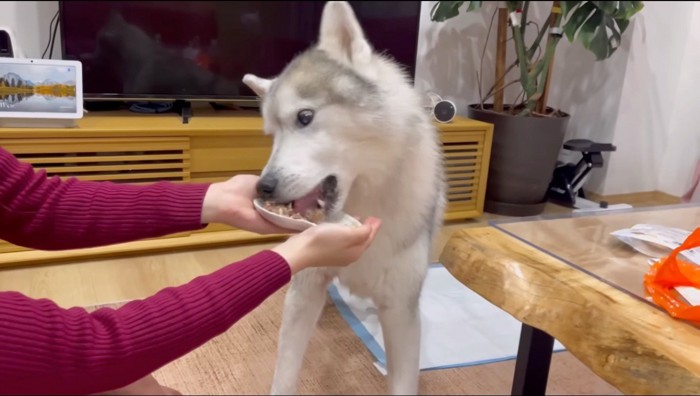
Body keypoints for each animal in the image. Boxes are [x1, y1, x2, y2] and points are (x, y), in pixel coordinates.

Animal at [243, 1, 446, 394]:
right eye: (272, 134)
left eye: (305, 117)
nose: (263, 188)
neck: (364, 198)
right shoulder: (306, 288)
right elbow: (285, 372)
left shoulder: (400, 312)